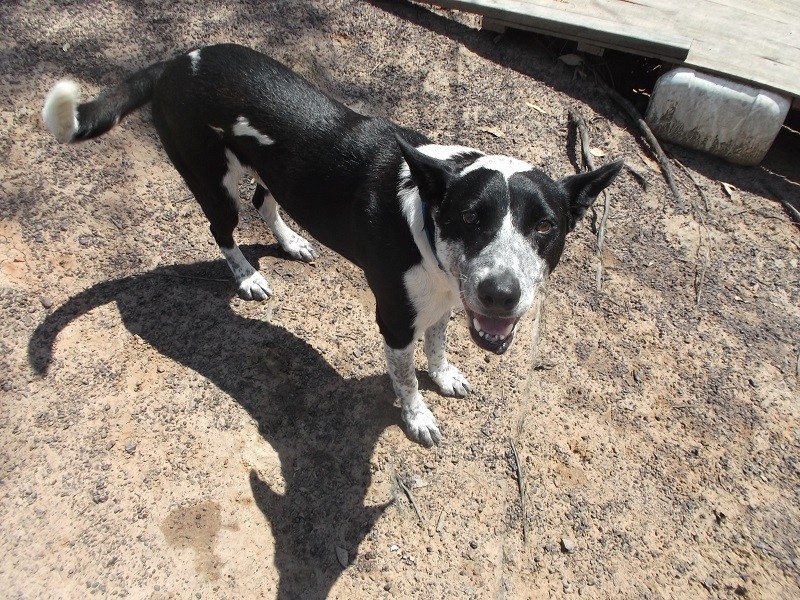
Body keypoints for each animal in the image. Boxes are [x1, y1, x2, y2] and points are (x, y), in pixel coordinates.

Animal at [42, 44, 622, 446]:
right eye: (470, 217)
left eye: (544, 227)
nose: (501, 293)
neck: (425, 217)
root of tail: (173, 62)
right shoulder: (395, 320)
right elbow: (405, 379)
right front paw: (418, 418)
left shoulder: (444, 300)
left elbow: (437, 346)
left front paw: (445, 376)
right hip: (211, 180)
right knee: (223, 230)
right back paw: (247, 276)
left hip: (268, 173)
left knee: (264, 202)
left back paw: (292, 243)